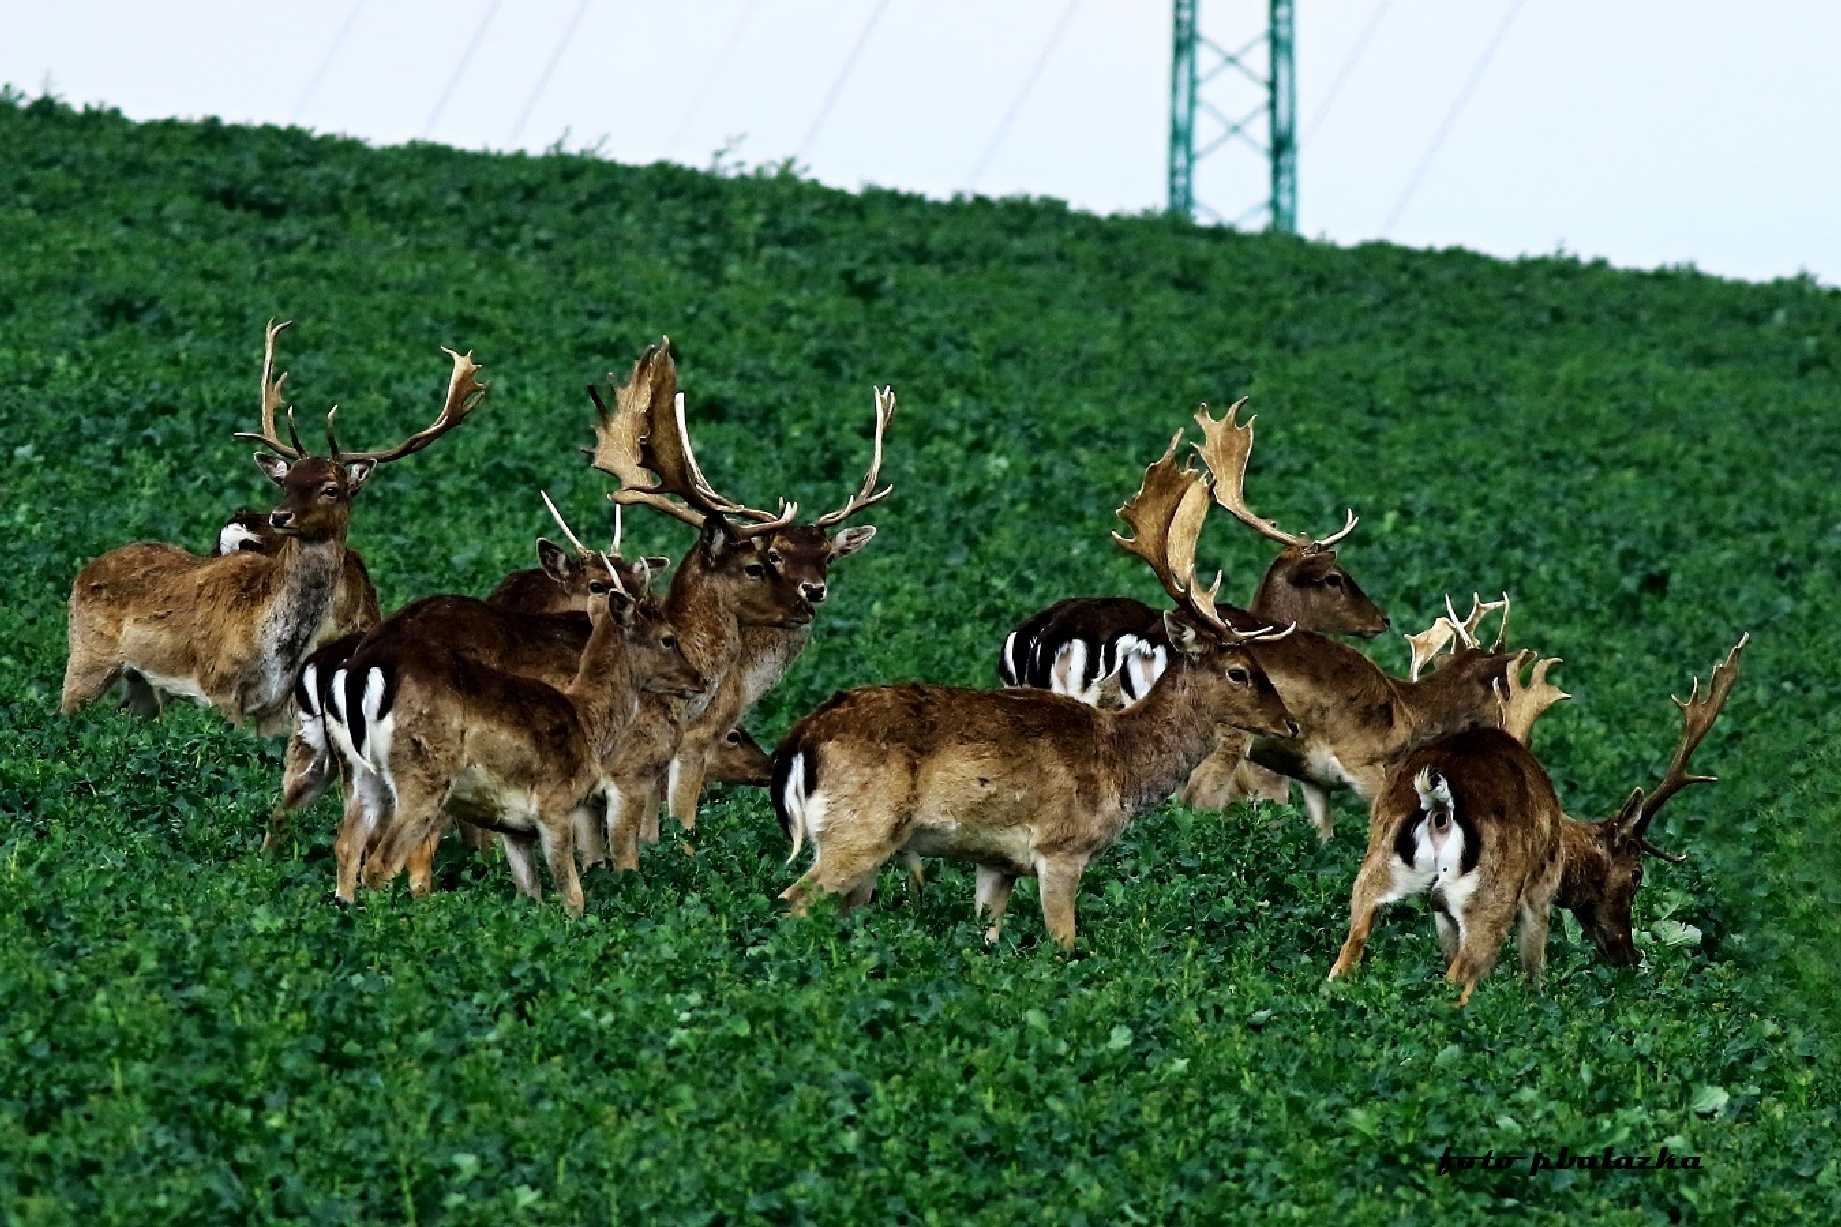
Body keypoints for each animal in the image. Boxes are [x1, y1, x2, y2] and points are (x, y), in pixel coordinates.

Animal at [62, 320, 486, 729]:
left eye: (332, 488)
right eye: (286, 482)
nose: (279, 517)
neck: (278, 646)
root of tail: (88, 568)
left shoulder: (278, 706)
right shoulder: (219, 688)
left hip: (141, 684)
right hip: (86, 657)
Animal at [773, 427, 1296, 943]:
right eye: (1239, 671)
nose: (1289, 724)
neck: (1123, 762)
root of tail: (799, 743)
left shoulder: (997, 862)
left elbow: (988, 934)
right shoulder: (1060, 847)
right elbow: (1064, 943)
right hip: (860, 829)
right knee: (790, 901)